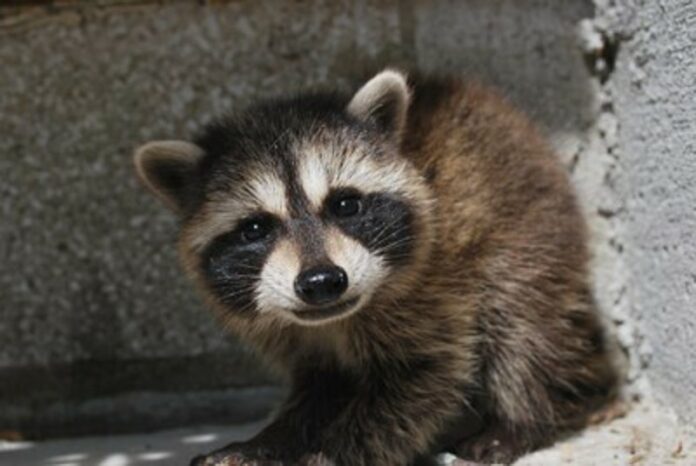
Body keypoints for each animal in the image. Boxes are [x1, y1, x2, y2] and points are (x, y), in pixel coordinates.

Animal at [133, 70, 617, 465]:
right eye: (255, 228)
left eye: (345, 204)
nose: (322, 282)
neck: (332, 321)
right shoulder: (295, 333)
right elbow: (319, 388)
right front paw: (269, 441)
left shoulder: (432, 293)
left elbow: (419, 381)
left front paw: (330, 453)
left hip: (529, 231)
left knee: (523, 325)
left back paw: (520, 418)